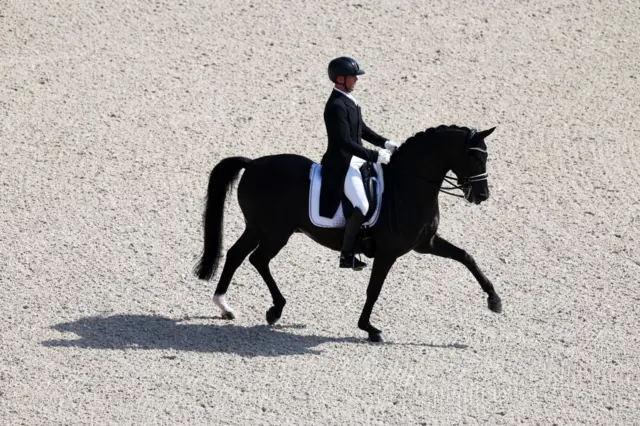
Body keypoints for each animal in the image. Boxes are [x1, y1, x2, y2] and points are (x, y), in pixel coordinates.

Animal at [192, 125, 502, 342]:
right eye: (475, 158)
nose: (482, 195)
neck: (408, 187)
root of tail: (252, 164)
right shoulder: (388, 253)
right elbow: (374, 289)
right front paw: (369, 328)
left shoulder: (426, 243)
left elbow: (466, 257)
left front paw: (494, 300)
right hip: (275, 233)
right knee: (257, 259)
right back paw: (274, 308)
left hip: (258, 228)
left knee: (236, 255)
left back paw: (225, 306)